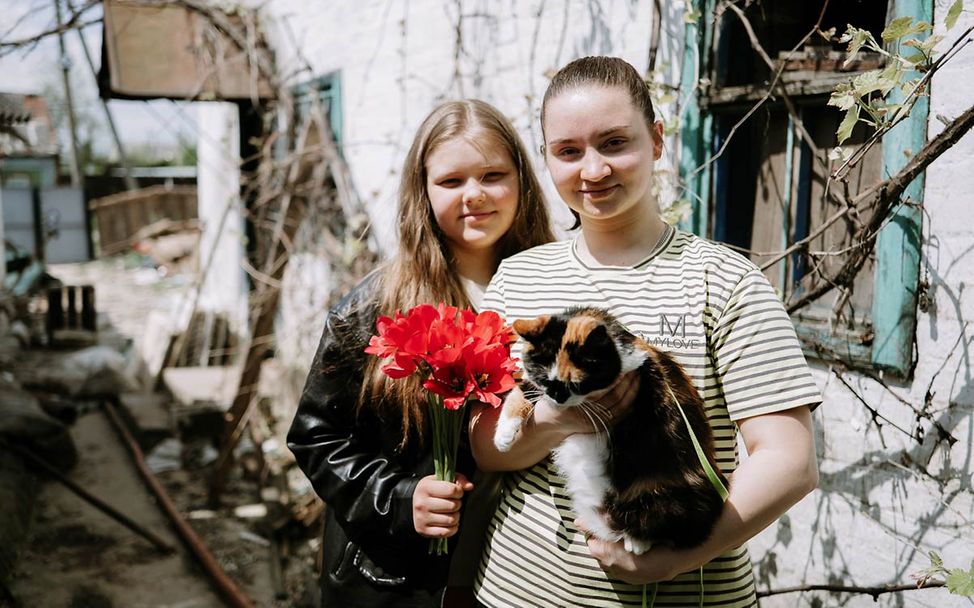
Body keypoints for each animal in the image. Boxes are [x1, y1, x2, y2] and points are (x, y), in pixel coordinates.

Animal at [496, 308, 724, 556]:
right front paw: (503, 436)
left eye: (576, 384)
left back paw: (636, 541)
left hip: (671, 498)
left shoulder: (646, 371)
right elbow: (522, 390)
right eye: (545, 379)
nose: (558, 399)